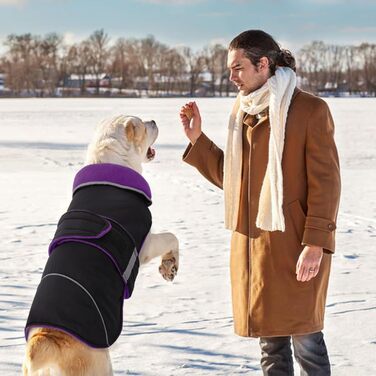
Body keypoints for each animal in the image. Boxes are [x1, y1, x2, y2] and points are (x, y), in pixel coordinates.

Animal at [22, 115, 180, 376]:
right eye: (142, 124)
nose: (154, 120)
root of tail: (48, 338)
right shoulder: (144, 244)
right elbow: (171, 237)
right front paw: (169, 267)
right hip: (100, 364)